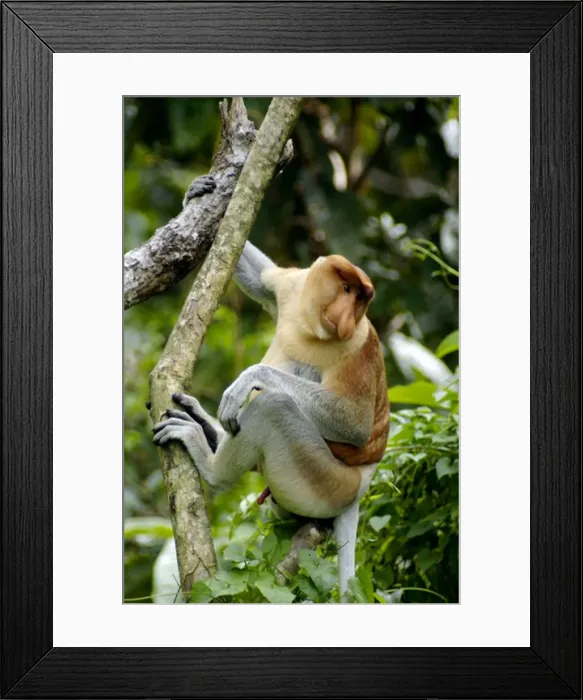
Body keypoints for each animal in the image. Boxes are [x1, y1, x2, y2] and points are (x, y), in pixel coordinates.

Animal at [153, 209, 390, 597]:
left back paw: (209, 461)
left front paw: (251, 378)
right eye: (347, 289)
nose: (345, 316)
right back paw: (209, 430)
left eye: (360, 299)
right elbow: (262, 280)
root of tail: (359, 488)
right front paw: (202, 196)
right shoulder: (293, 286)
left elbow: (354, 424)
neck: (310, 326)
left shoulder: (357, 343)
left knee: (274, 408)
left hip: (326, 482)